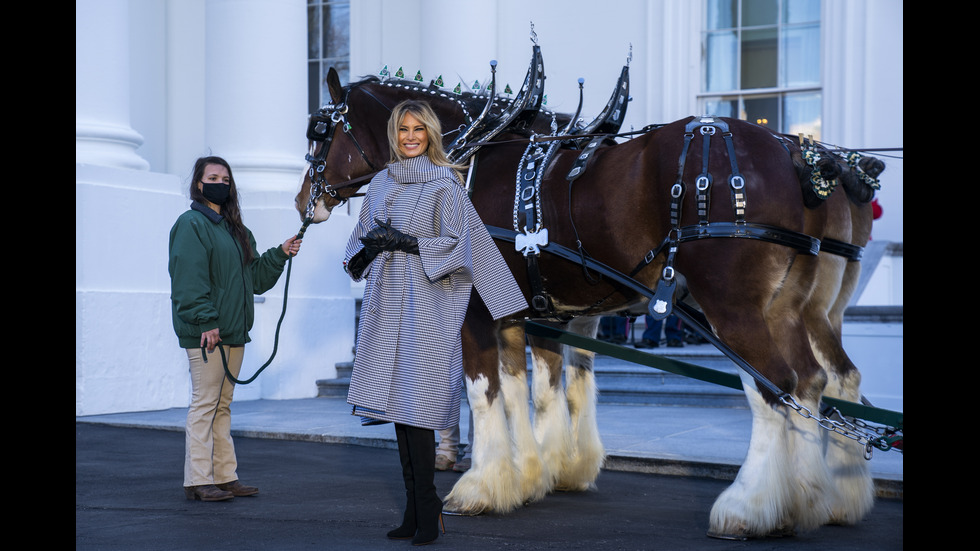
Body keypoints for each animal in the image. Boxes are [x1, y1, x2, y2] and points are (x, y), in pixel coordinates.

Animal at [294, 66, 884, 540]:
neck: (465, 160)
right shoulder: (538, 315)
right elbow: (536, 390)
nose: (303, 201)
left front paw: (481, 486)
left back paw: (749, 507)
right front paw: (538, 474)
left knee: (775, 388)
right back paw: (815, 500)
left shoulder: (480, 313)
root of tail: (798, 153)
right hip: (796, 308)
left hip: (733, 306)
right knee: (819, 381)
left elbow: (488, 394)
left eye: (319, 131)